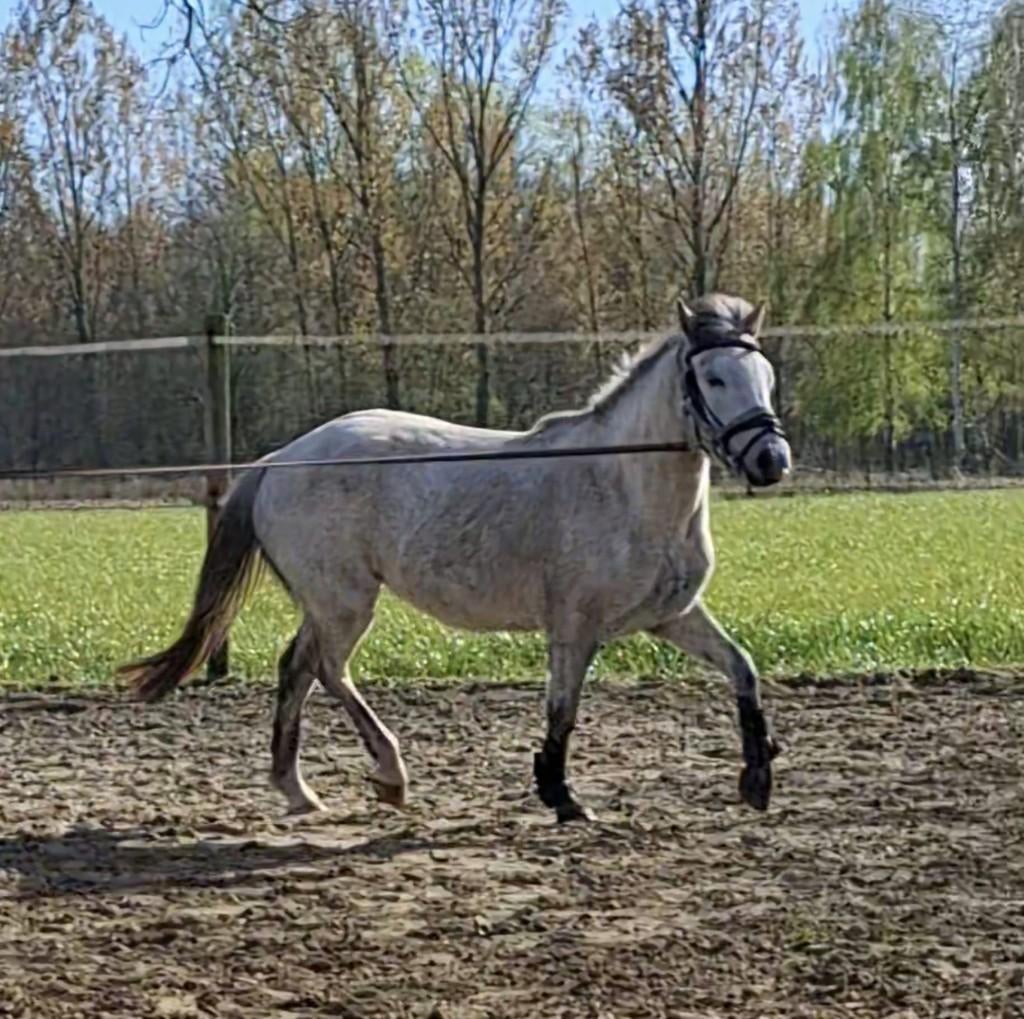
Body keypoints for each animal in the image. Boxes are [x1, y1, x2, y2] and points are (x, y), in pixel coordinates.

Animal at [119, 292, 791, 823]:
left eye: (765, 375)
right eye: (713, 379)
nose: (771, 461)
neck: (624, 486)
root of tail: (280, 460)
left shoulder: (671, 616)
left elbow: (743, 669)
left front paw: (757, 780)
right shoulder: (575, 625)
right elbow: (563, 710)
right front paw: (562, 797)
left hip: (328, 601)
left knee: (298, 669)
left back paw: (300, 790)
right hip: (344, 600)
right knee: (327, 669)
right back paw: (388, 775)